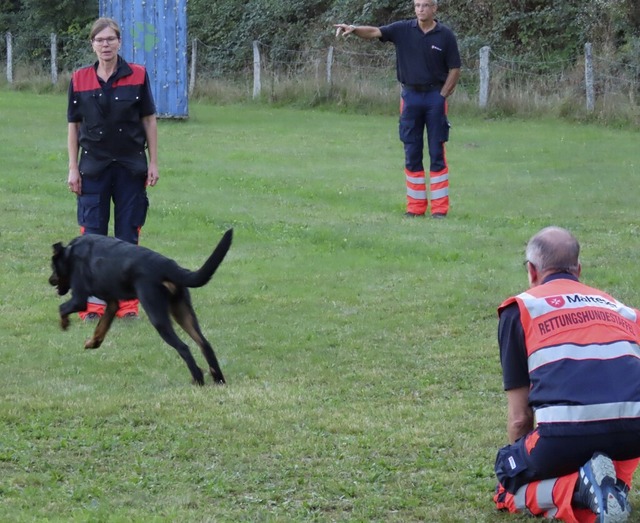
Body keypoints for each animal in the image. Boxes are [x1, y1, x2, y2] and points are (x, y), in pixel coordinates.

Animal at [48, 229, 232, 384]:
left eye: (53, 267)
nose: (50, 280)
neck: (71, 253)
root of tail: (169, 266)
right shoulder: (112, 303)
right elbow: (101, 328)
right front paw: (92, 343)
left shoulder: (79, 298)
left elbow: (62, 308)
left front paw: (64, 324)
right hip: (182, 311)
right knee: (204, 343)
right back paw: (218, 379)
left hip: (157, 314)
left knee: (184, 347)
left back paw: (198, 379)